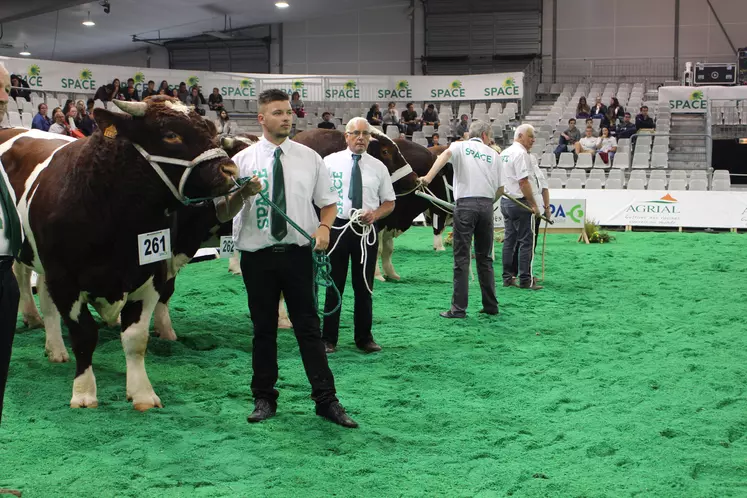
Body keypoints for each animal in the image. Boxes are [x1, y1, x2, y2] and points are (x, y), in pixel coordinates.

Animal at [0, 96, 238, 408]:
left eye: (211, 129)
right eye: (170, 134)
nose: (230, 171)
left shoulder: (150, 273)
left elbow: (136, 339)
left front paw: (142, 393)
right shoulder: (65, 280)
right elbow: (84, 335)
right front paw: (84, 392)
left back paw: (55, 348)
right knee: (21, 277)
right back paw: (32, 318)